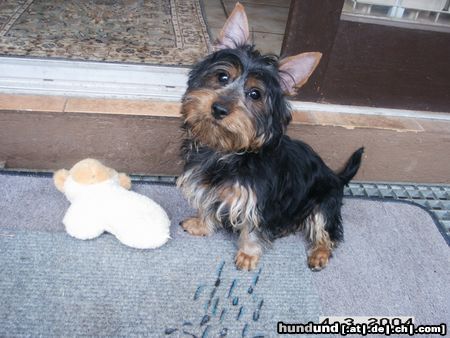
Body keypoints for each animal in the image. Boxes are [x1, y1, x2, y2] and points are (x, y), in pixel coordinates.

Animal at [178, 2, 364, 272]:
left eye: (255, 94)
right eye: (222, 77)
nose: (219, 109)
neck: (231, 151)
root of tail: (337, 177)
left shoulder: (259, 201)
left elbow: (252, 228)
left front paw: (247, 254)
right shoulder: (204, 183)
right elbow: (206, 204)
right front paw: (202, 224)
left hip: (324, 199)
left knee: (327, 229)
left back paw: (319, 253)